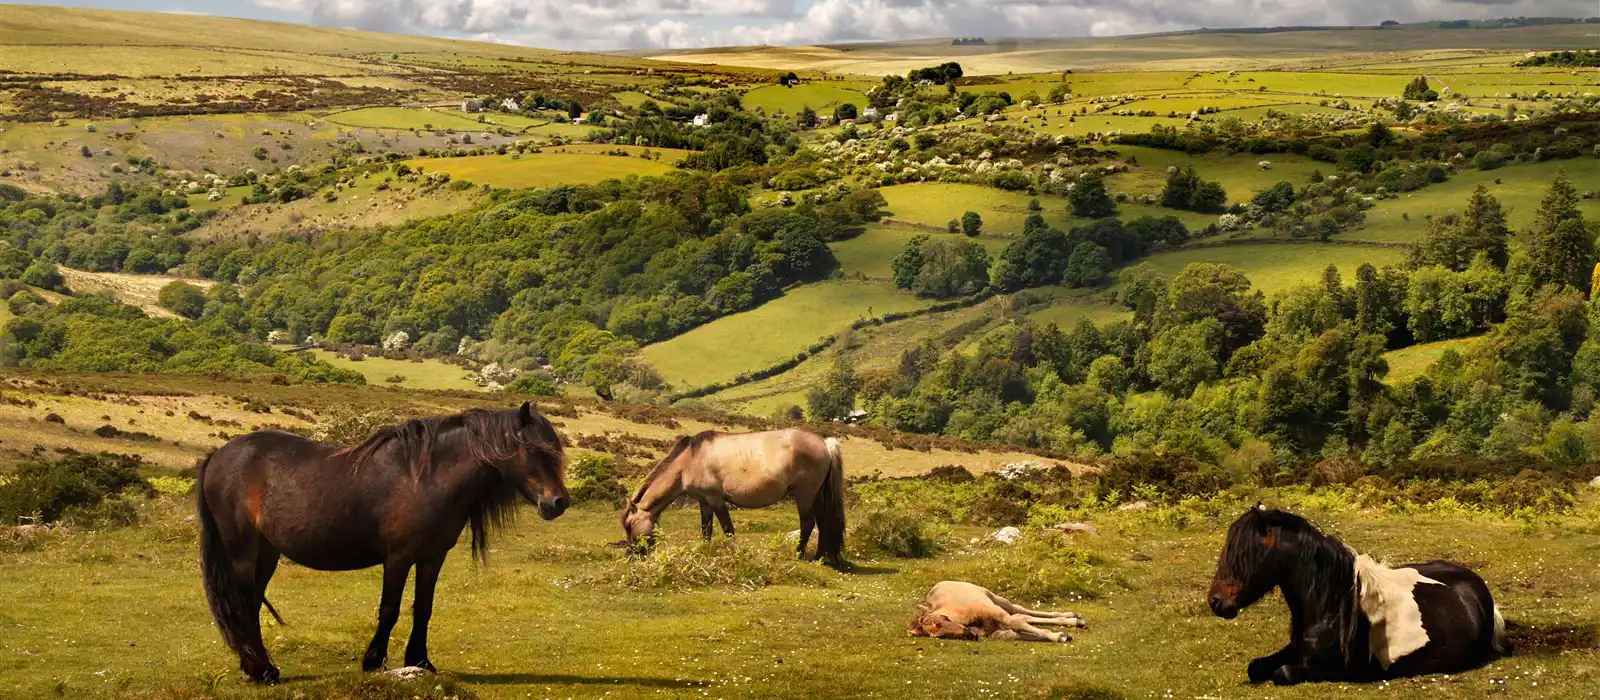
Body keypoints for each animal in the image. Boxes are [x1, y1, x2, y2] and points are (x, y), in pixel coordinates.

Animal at [196, 402, 569, 680]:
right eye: (533, 448)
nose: (558, 503)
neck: (426, 478)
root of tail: (218, 455)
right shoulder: (399, 557)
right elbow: (389, 609)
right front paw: (373, 660)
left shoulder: (432, 557)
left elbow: (423, 608)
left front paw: (420, 661)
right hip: (242, 551)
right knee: (243, 604)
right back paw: (262, 670)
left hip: (267, 552)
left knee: (251, 604)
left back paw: (255, 667)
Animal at [620, 425, 851, 568]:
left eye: (630, 525)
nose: (632, 555)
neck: (689, 461)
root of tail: (824, 443)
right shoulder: (704, 502)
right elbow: (706, 530)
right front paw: (705, 552)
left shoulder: (716, 500)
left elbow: (727, 529)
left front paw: (736, 555)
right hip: (817, 495)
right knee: (823, 522)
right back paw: (820, 557)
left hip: (805, 494)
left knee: (808, 523)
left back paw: (800, 555)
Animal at [908, 581, 1081, 642]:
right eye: (940, 636)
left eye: (944, 619)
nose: (970, 635)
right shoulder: (996, 631)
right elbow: (1014, 633)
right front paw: (1061, 635)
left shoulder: (995, 611)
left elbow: (1015, 622)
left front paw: (1057, 635)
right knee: (1023, 615)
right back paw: (1074, 620)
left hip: (998, 600)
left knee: (1019, 610)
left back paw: (1073, 617)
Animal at [1203, 505, 1504, 687]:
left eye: (1246, 554)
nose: (1216, 602)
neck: (1331, 605)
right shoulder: (1296, 649)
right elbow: (1255, 667)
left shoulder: (1341, 670)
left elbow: (1282, 673)